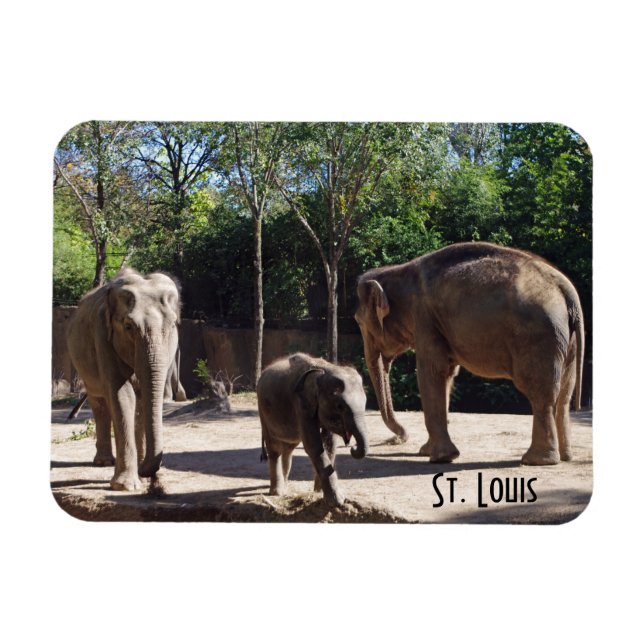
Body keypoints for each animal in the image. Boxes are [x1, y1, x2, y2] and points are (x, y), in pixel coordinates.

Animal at [66, 268, 181, 490]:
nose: (150, 475)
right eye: (128, 326)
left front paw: (143, 478)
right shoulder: (102, 335)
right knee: (99, 402)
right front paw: (127, 486)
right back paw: (104, 462)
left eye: (173, 324)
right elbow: (123, 395)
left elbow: (143, 397)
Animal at [257, 353, 369, 508]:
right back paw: (277, 492)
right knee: (274, 448)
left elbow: (330, 444)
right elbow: (313, 446)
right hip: (263, 412)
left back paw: (285, 485)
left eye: (365, 403)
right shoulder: (301, 403)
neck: (323, 369)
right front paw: (337, 501)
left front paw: (318, 492)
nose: (353, 447)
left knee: (289, 448)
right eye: (340, 406)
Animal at [355, 241, 585, 466]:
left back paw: (536, 461)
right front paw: (426, 452)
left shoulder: (424, 317)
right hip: (566, 339)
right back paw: (566, 457)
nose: (397, 439)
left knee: (539, 393)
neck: (398, 271)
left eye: (358, 321)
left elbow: (432, 371)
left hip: (538, 337)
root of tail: (566, 289)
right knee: (564, 394)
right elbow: (447, 374)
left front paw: (440, 458)